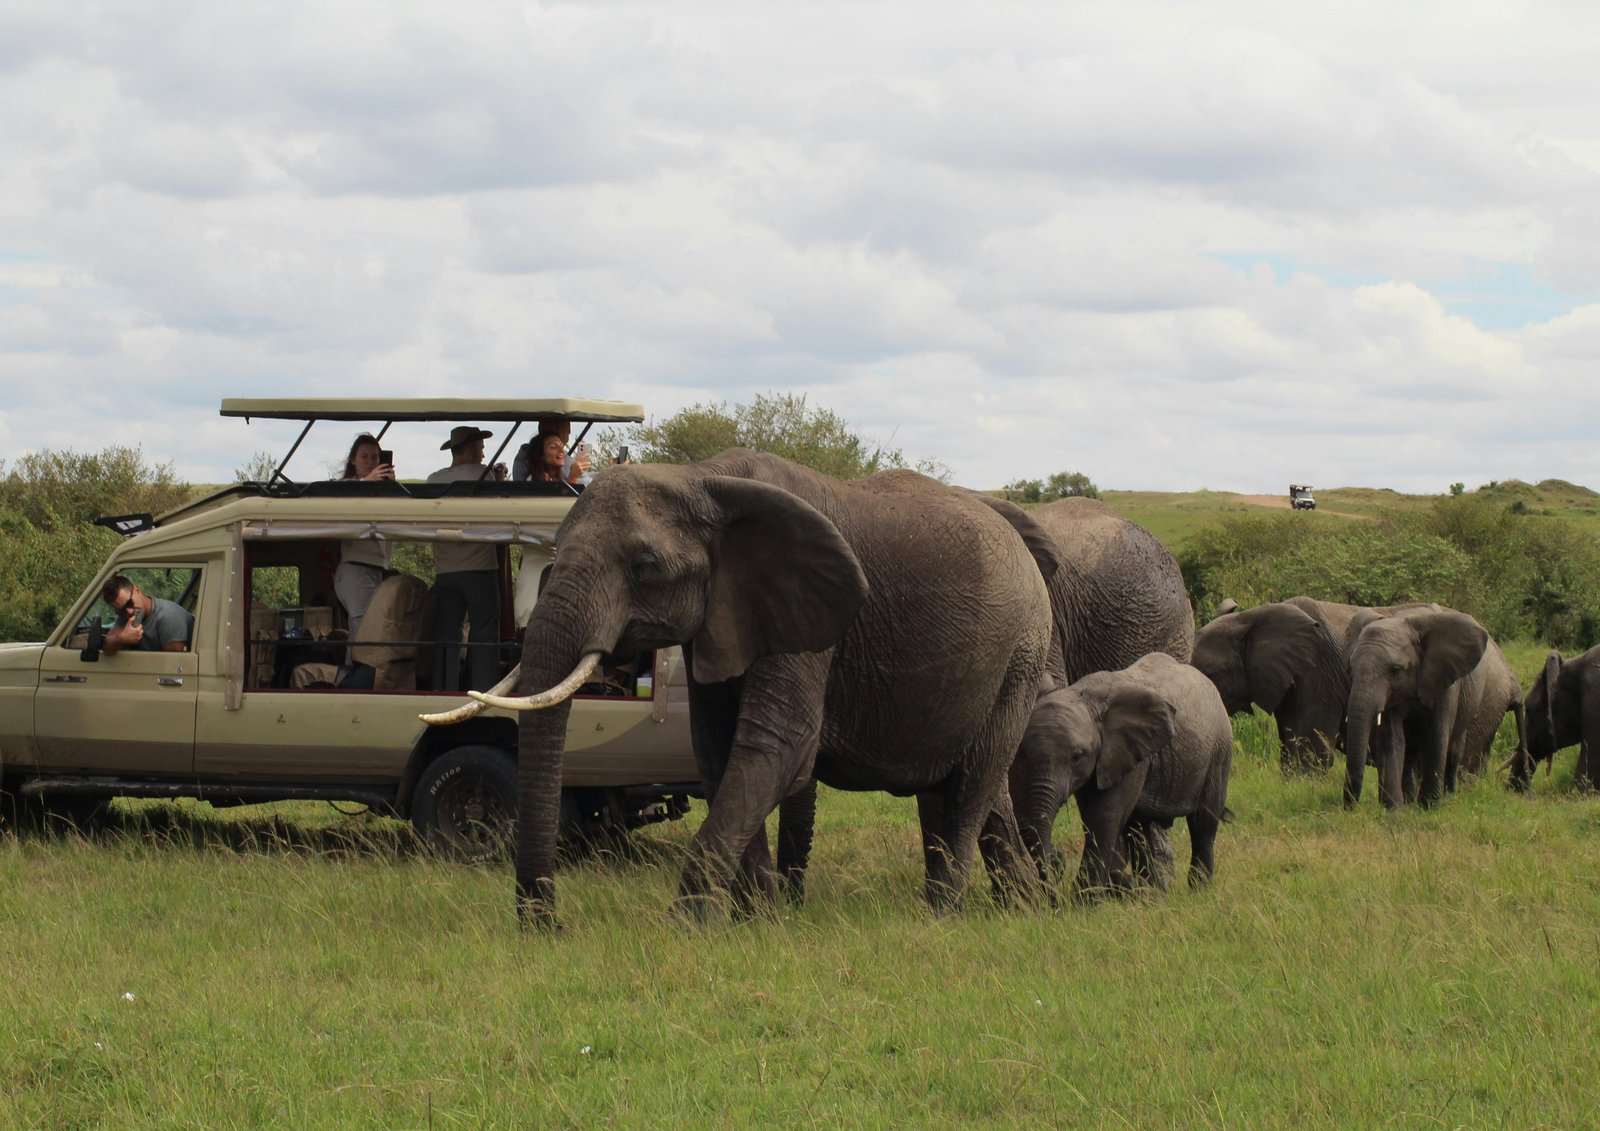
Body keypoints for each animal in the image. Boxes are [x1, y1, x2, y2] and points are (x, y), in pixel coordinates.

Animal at [439, 449, 1055, 927]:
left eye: (644, 567)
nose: (548, 926)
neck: (699, 478)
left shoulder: (808, 618)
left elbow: (777, 747)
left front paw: (685, 929)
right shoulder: (725, 617)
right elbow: (718, 751)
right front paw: (757, 922)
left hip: (1020, 653)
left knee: (973, 783)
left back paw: (943, 916)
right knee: (965, 785)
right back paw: (1022, 909)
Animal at [1013, 652, 1233, 897]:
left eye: (1077, 756)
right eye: (1021, 753)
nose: (1057, 859)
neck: (1085, 695)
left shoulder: (1128, 754)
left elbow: (1104, 815)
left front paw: (1086, 898)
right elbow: (1093, 815)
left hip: (1219, 750)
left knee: (1203, 821)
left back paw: (1198, 890)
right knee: (1138, 829)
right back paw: (1154, 892)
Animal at [1343, 605, 1525, 809]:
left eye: (1394, 670)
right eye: (1351, 666)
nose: (1350, 807)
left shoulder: (1445, 681)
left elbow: (1437, 735)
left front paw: (1429, 807)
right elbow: (1392, 740)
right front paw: (1394, 810)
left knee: (1455, 749)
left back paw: (1450, 796)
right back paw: (1409, 801)